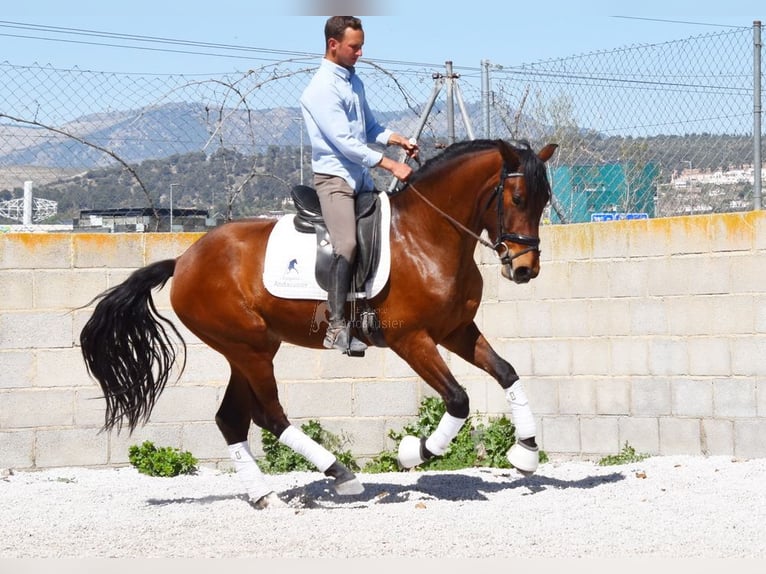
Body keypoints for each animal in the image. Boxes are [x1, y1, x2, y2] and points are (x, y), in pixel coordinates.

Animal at [79, 138, 558, 508]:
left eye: (544, 201)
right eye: (517, 199)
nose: (525, 270)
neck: (427, 236)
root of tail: (183, 260)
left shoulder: (456, 332)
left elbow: (507, 373)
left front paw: (526, 452)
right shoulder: (411, 340)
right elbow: (458, 399)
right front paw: (415, 452)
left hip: (249, 349)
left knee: (232, 419)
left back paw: (263, 496)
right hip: (250, 348)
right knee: (270, 415)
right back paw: (341, 475)